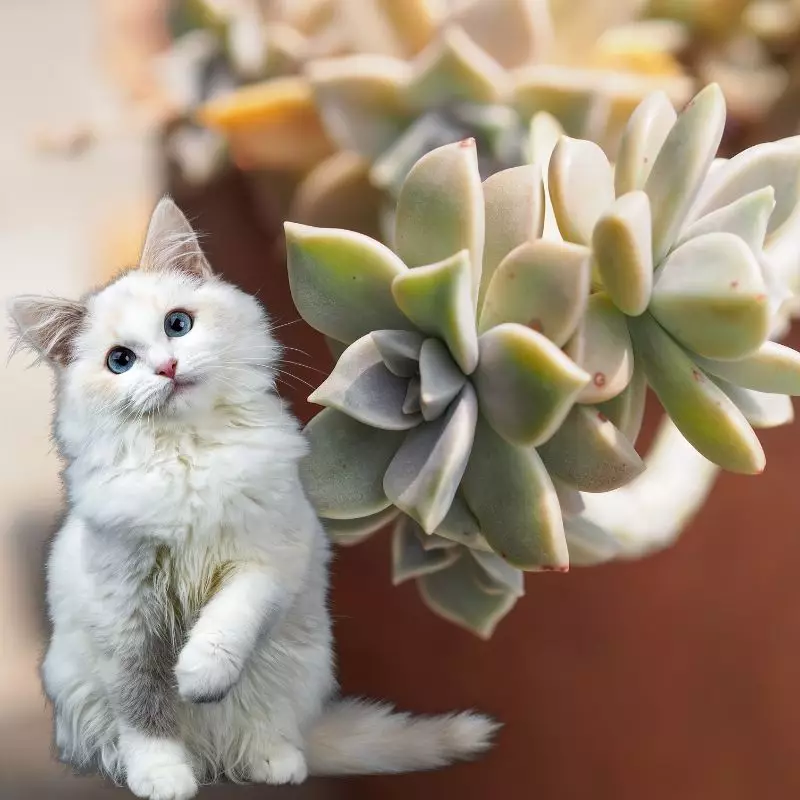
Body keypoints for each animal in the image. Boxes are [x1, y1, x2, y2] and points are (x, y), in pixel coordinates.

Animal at [9, 198, 496, 800]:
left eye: (178, 324)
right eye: (119, 361)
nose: (167, 367)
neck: (189, 455)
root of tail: (213, 754)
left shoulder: (267, 558)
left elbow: (228, 622)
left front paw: (198, 676)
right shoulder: (127, 613)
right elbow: (145, 709)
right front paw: (162, 775)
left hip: (295, 665)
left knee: (267, 729)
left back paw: (273, 761)